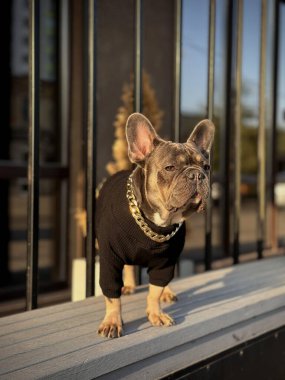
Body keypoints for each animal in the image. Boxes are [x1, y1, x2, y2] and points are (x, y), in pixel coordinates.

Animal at [95, 111, 213, 336]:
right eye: (170, 168)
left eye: (206, 167)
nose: (197, 174)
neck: (158, 222)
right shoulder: (109, 259)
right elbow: (112, 294)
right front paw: (112, 321)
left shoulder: (165, 262)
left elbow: (155, 290)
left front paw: (155, 313)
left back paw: (167, 292)